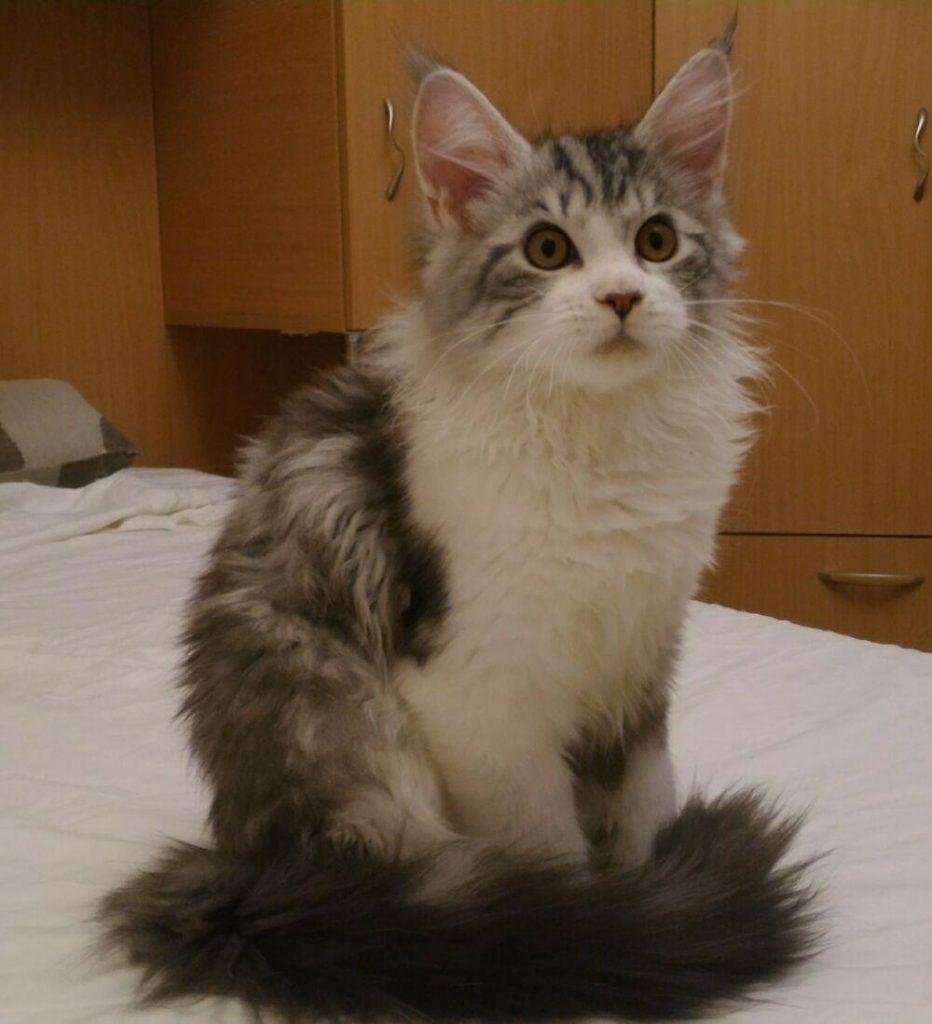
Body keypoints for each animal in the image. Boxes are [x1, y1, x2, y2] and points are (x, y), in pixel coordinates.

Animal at [100, 39, 819, 1024]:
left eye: (657, 241)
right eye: (548, 250)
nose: (623, 298)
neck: (601, 444)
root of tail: (252, 874)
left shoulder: (642, 658)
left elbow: (641, 811)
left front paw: (653, 889)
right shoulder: (480, 694)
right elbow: (553, 856)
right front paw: (599, 931)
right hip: (353, 741)